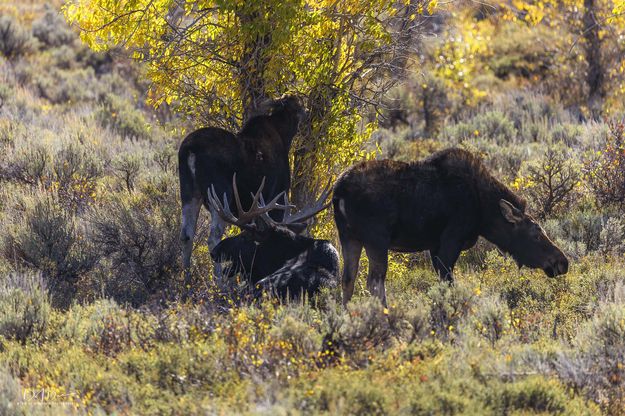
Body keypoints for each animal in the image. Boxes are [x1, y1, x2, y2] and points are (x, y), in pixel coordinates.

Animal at [177, 94, 306, 282]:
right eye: (298, 107)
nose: (307, 112)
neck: (284, 137)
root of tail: (190, 151)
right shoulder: (275, 194)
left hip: (189, 192)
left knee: (186, 235)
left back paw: (186, 280)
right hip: (221, 193)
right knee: (213, 237)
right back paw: (220, 283)